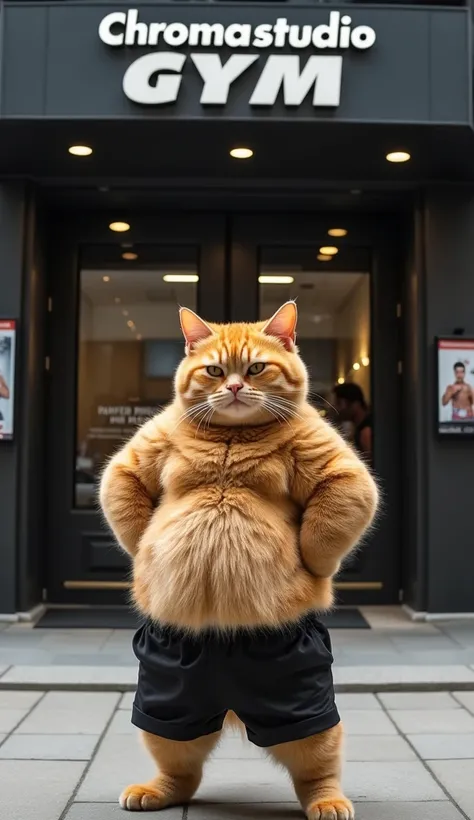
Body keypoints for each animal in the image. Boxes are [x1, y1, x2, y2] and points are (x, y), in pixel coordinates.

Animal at [100, 302, 378, 820]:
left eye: (255, 368)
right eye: (214, 370)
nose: (231, 387)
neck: (234, 436)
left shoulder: (346, 477)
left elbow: (321, 540)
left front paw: (319, 572)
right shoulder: (130, 463)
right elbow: (131, 516)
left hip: (303, 711)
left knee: (318, 766)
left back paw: (327, 800)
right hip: (167, 709)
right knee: (181, 769)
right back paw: (157, 791)